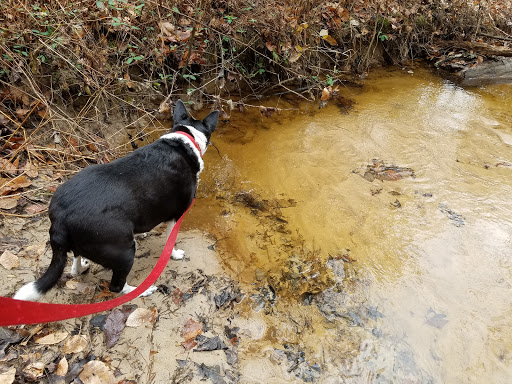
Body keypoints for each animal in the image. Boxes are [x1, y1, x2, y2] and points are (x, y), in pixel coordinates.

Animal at [14, 100, 218, 302]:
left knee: (75, 265)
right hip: (124, 252)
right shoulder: (177, 215)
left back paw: (82, 267)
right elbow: (170, 241)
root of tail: (60, 220)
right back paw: (142, 290)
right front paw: (175, 254)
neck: (184, 140)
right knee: (116, 286)